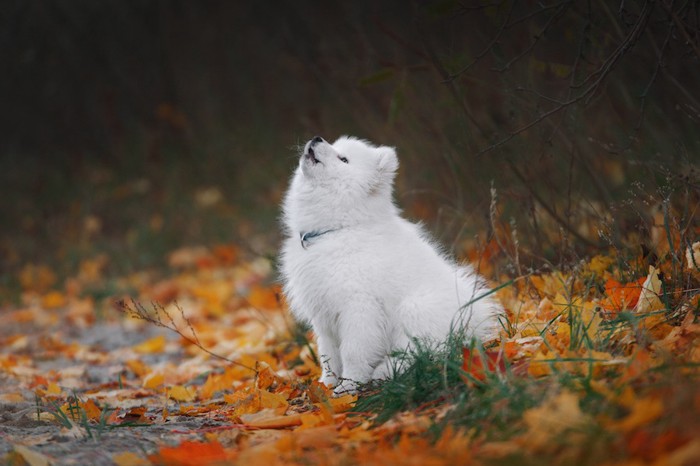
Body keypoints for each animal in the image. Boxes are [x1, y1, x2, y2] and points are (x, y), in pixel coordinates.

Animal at [280, 136, 504, 394]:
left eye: (343, 159)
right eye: (335, 145)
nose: (317, 138)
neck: (339, 228)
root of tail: (474, 325)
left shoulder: (359, 308)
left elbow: (352, 351)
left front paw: (348, 387)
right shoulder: (323, 314)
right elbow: (328, 354)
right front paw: (326, 384)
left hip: (414, 308)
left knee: (425, 353)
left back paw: (384, 372)